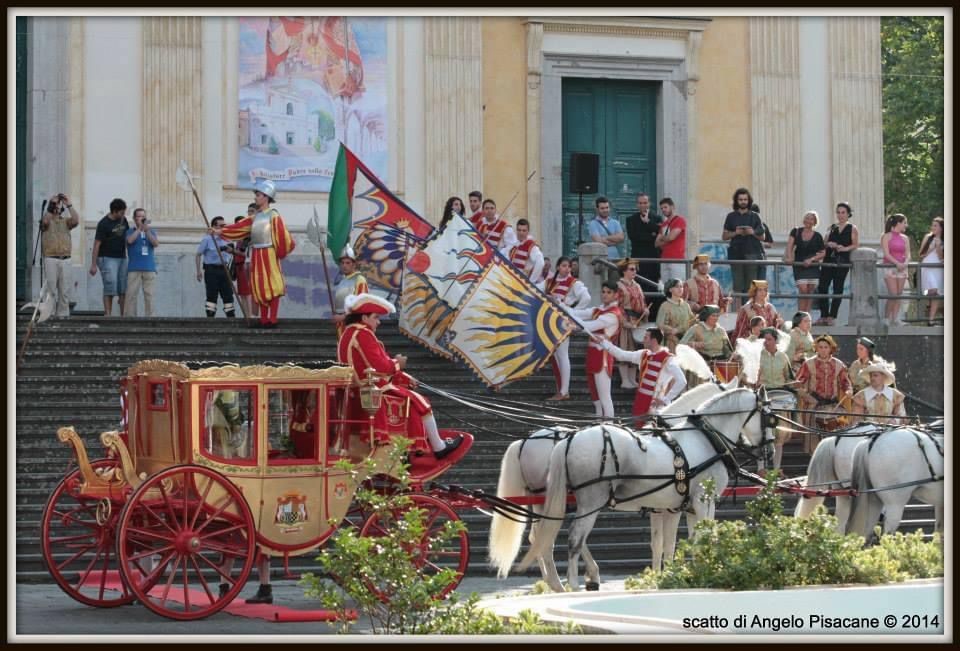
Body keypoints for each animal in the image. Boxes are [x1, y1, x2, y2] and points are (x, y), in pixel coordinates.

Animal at [512, 390, 776, 592]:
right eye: (770, 417)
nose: (771, 450)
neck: (705, 439)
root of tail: (569, 440)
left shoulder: (677, 507)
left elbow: (675, 543)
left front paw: (678, 575)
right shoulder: (704, 501)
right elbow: (703, 537)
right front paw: (707, 569)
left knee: (545, 537)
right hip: (590, 502)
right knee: (574, 538)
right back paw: (572, 585)